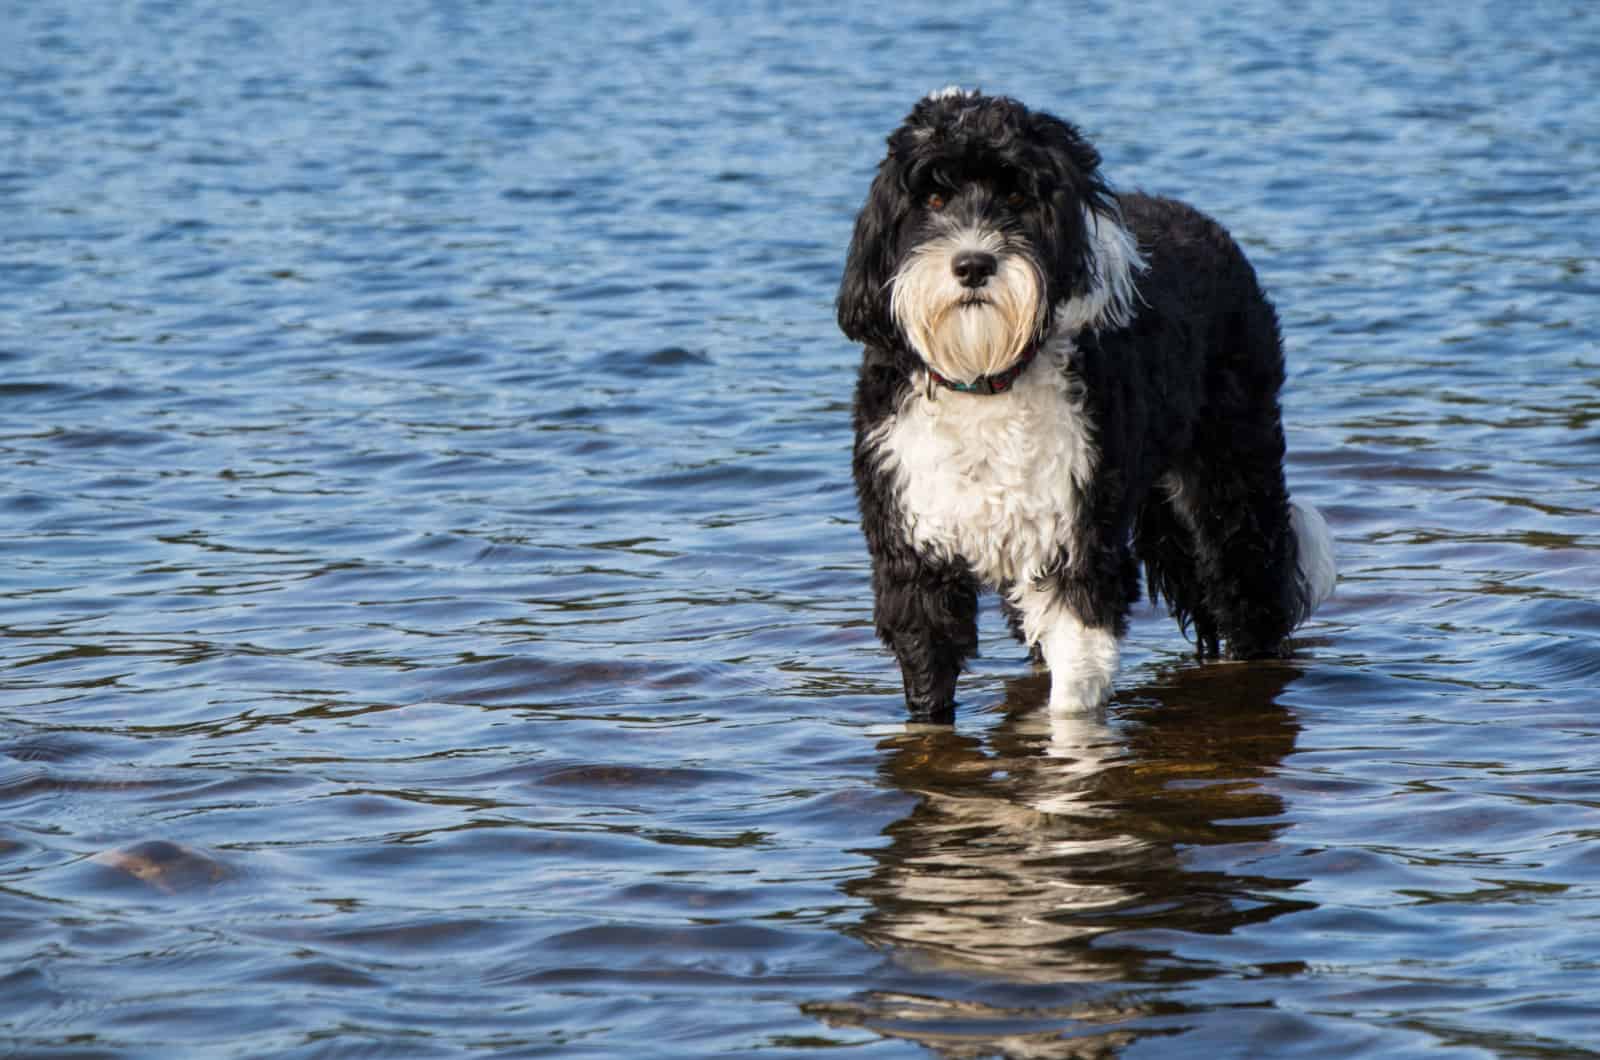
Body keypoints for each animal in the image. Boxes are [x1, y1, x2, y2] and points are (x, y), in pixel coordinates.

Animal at [838, 89, 1337, 723]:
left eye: (1018, 196)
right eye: (932, 197)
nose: (973, 264)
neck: (987, 377)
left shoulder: (1076, 546)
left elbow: (1073, 692)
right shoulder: (916, 558)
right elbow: (929, 677)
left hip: (1229, 476)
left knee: (1250, 586)